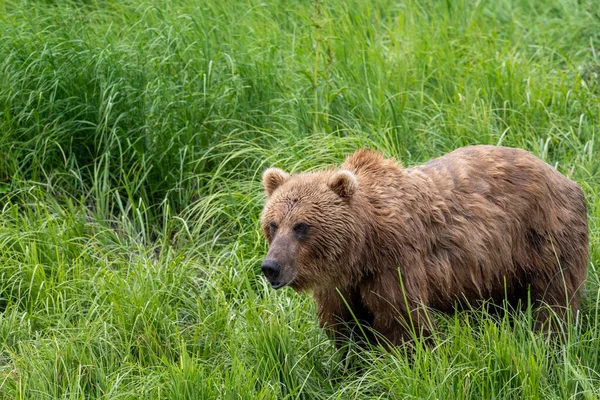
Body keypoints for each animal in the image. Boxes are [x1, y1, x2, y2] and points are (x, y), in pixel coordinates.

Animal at [260, 145, 588, 348]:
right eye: (273, 224)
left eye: (302, 226)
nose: (270, 267)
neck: (361, 250)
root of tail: (564, 176)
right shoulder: (340, 286)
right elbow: (345, 330)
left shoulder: (395, 264)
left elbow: (403, 324)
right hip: (499, 268)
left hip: (543, 238)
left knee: (554, 300)